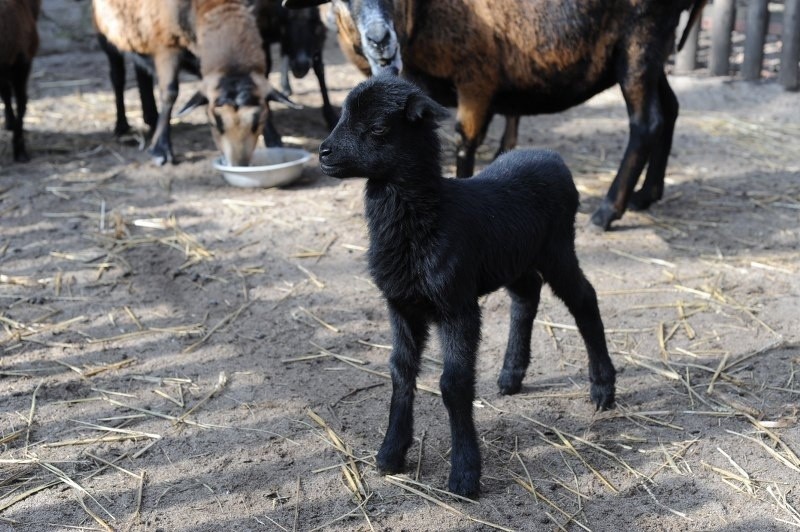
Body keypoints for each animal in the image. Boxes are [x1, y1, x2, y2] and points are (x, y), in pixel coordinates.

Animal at [94, 0, 294, 166]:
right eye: (213, 123)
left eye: (257, 121)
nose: (239, 164)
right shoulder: (166, 44)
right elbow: (170, 93)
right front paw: (161, 150)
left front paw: (273, 139)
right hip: (107, 31)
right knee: (117, 77)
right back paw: (122, 127)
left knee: (141, 71)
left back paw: (151, 117)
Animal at [286, 0, 708, 231]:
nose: (380, 40)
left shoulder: (478, 75)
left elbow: (465, 141)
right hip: (650, 50)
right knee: (670, 109)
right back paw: (647, 195)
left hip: (640, 39)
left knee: (647, 122)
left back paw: (608, 211)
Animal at [318, 76, 620, 498]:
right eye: (341, 115)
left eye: (378, 128)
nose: (323, 153)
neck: (429, 215)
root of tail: (551, 157)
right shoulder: (401, 304)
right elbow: (400, 370)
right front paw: (391, 453)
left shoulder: (457, 304)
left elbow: (453, 383)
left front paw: (464, 474)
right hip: (514, 256)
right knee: (527, 293)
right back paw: (511, 374)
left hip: (557, 247)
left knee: (584, 298)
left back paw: (602, 388)